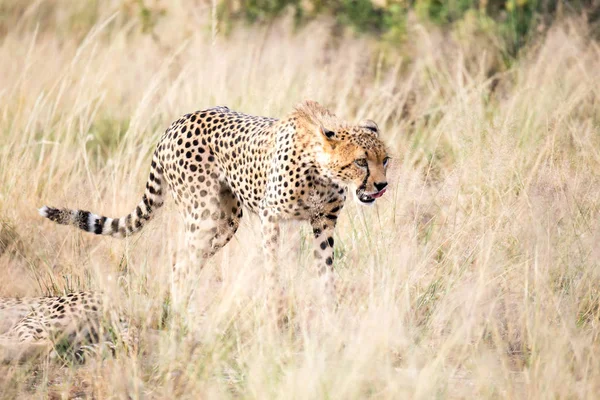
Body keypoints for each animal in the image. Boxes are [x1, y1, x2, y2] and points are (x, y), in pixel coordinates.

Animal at [39, 101, 392, 304]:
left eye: (385, 160)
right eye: (361, 162)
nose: (381, 185)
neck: (321, 169)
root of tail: (177, 122)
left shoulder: (323, 222)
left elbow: (326, 269)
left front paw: (330, 311)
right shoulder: (271, 217)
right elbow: (273, 267)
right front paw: (276, 309)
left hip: (226, 221)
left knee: (187, 263)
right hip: (204, 215)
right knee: (181, 262)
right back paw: (183, 316)